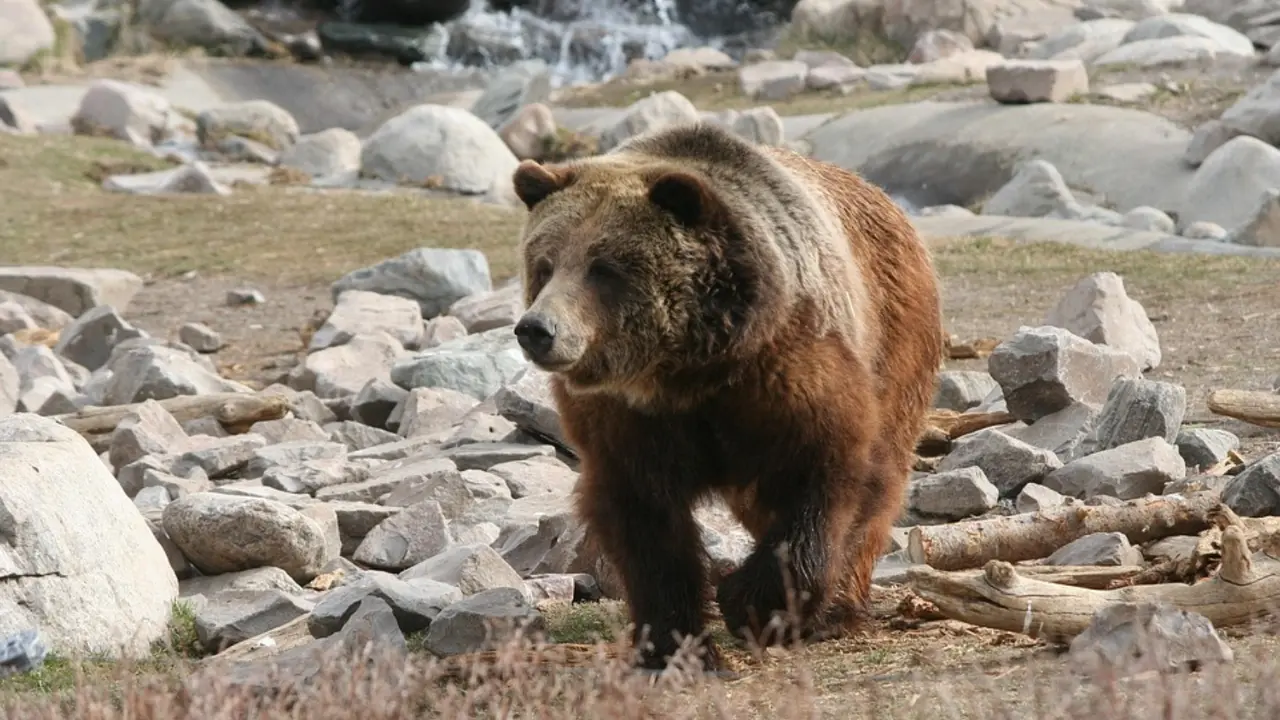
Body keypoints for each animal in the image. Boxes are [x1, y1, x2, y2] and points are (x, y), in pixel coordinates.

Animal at [508, 121, 944, 673]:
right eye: (544, 265)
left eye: (603, 268)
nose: (536, 329)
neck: (688, 372)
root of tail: (886, 200)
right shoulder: (626, 421)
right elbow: (645, 522)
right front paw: (677, 644)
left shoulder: (788, 374)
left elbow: (826, 474)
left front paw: (752, 603)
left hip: (894, 333)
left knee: (879, 475)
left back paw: (837, 608)